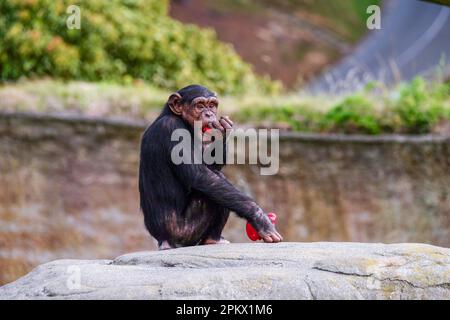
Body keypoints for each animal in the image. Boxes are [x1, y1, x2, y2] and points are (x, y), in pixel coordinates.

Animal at [139, 85, 284, 250]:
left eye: (212, 105)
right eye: (200, 105)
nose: (209, 114)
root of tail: (161, 239)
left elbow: (210, 165)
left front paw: (223, 130)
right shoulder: (171, 129)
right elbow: (200, 176)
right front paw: (260, 218)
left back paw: (213, 240)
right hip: (183, 232)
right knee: (212, 188)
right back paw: (212, 239)